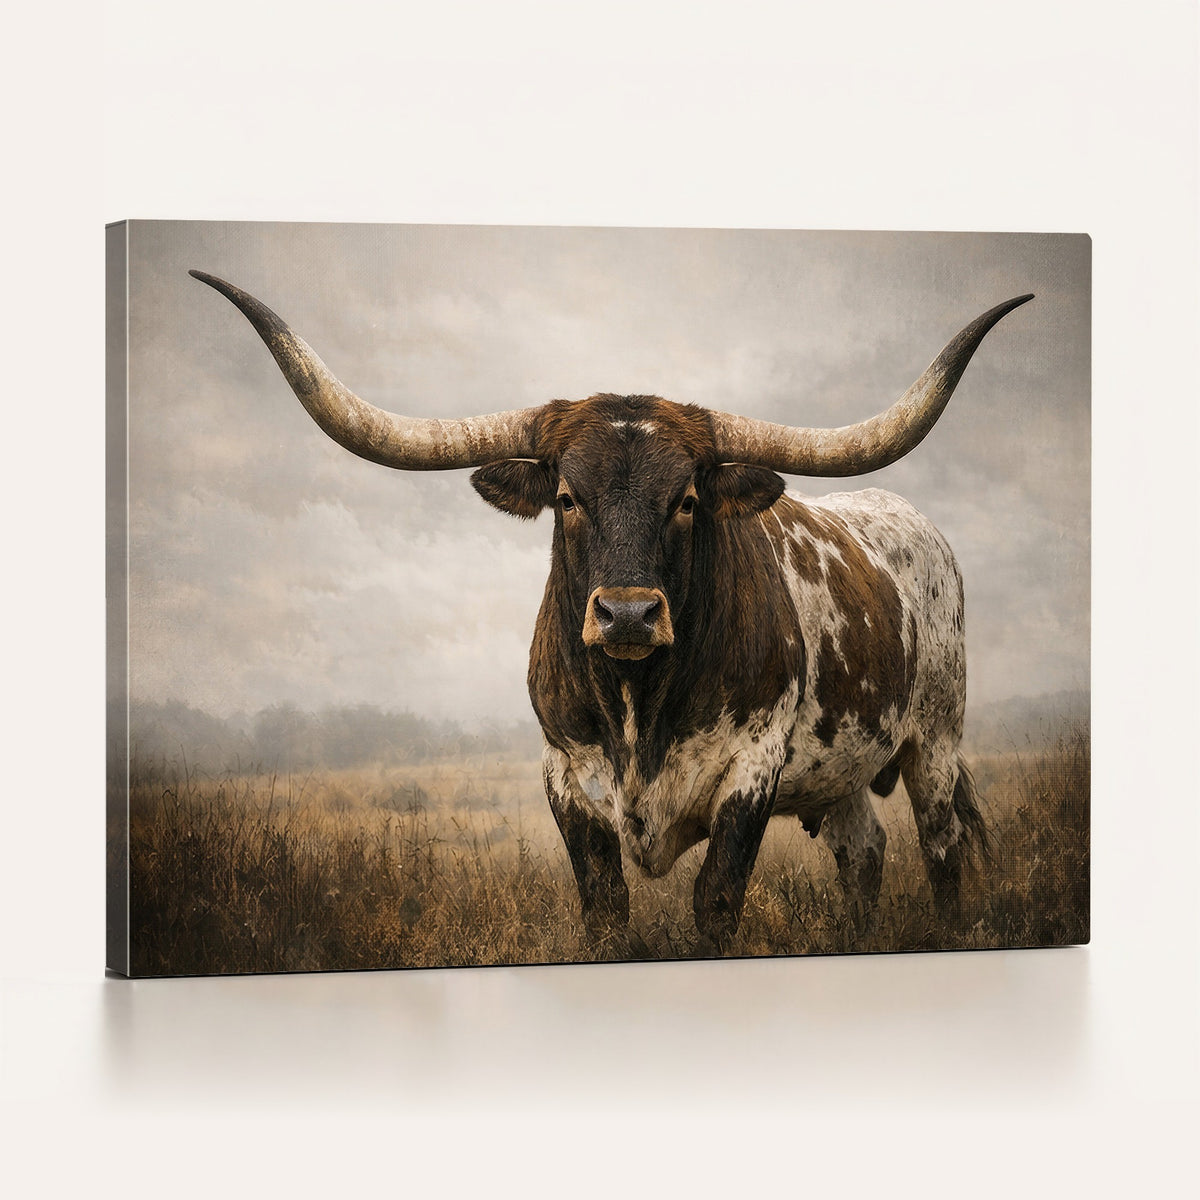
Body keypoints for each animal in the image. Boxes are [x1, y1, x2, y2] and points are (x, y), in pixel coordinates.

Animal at [191, 269, 1031, 955]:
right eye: (567, 497)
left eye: (687, 499)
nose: (628, 615)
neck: (640, 704)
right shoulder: (565, 774)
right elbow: (604, 905)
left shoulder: (754, 767)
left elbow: (716, 900)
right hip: (844, 770)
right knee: (864, 854)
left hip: (936, 739)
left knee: (942, 849)